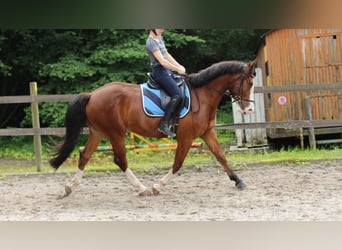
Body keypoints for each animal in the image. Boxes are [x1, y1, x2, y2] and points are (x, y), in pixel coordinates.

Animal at [49, 59, 255, 196]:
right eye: (250, 83)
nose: (248, 108)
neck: (202, 95)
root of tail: (92, 94)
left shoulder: (207, 132)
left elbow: (221, 156)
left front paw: (238, 181)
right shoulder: (186, 138)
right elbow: (178, 163)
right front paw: (158, 186)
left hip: (98, 132)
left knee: (85, 155)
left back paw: (70, 187)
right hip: (115, 133)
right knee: (120, 160)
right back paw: (142, 188)